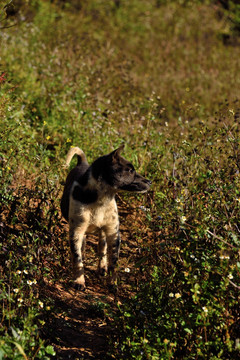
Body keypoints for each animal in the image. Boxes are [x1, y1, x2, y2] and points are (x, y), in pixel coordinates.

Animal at [60, 143, 150, 290]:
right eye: (130, 171)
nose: (150, 182)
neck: (101, 199)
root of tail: (82, 162)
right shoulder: (76, 231)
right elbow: (77, 259)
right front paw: (79, 281)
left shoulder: (114, 232)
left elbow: (113, 262)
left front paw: (112, 283)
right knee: (84, 247)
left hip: (103, 231)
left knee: (102, 247)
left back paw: (102, 268)